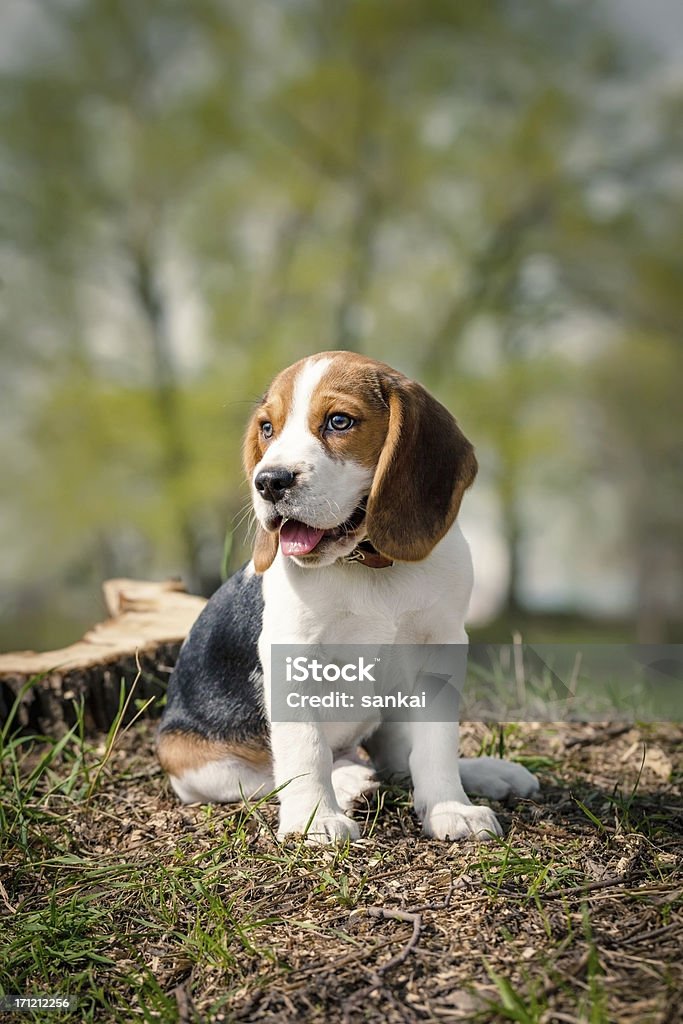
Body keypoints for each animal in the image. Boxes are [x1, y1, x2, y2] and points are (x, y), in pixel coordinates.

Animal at [158, 352, 540, 839]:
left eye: (339, 421)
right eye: (268, 429)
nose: (269, 481)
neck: (366, 564)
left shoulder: (440, 645)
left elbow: (435, 742)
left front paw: (450, 808)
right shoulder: (293, 656)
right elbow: (304, 749)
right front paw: (315, 819)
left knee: (398, 758)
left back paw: (481, 771)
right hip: (190, 757)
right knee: (266, 774)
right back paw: (348, 779)